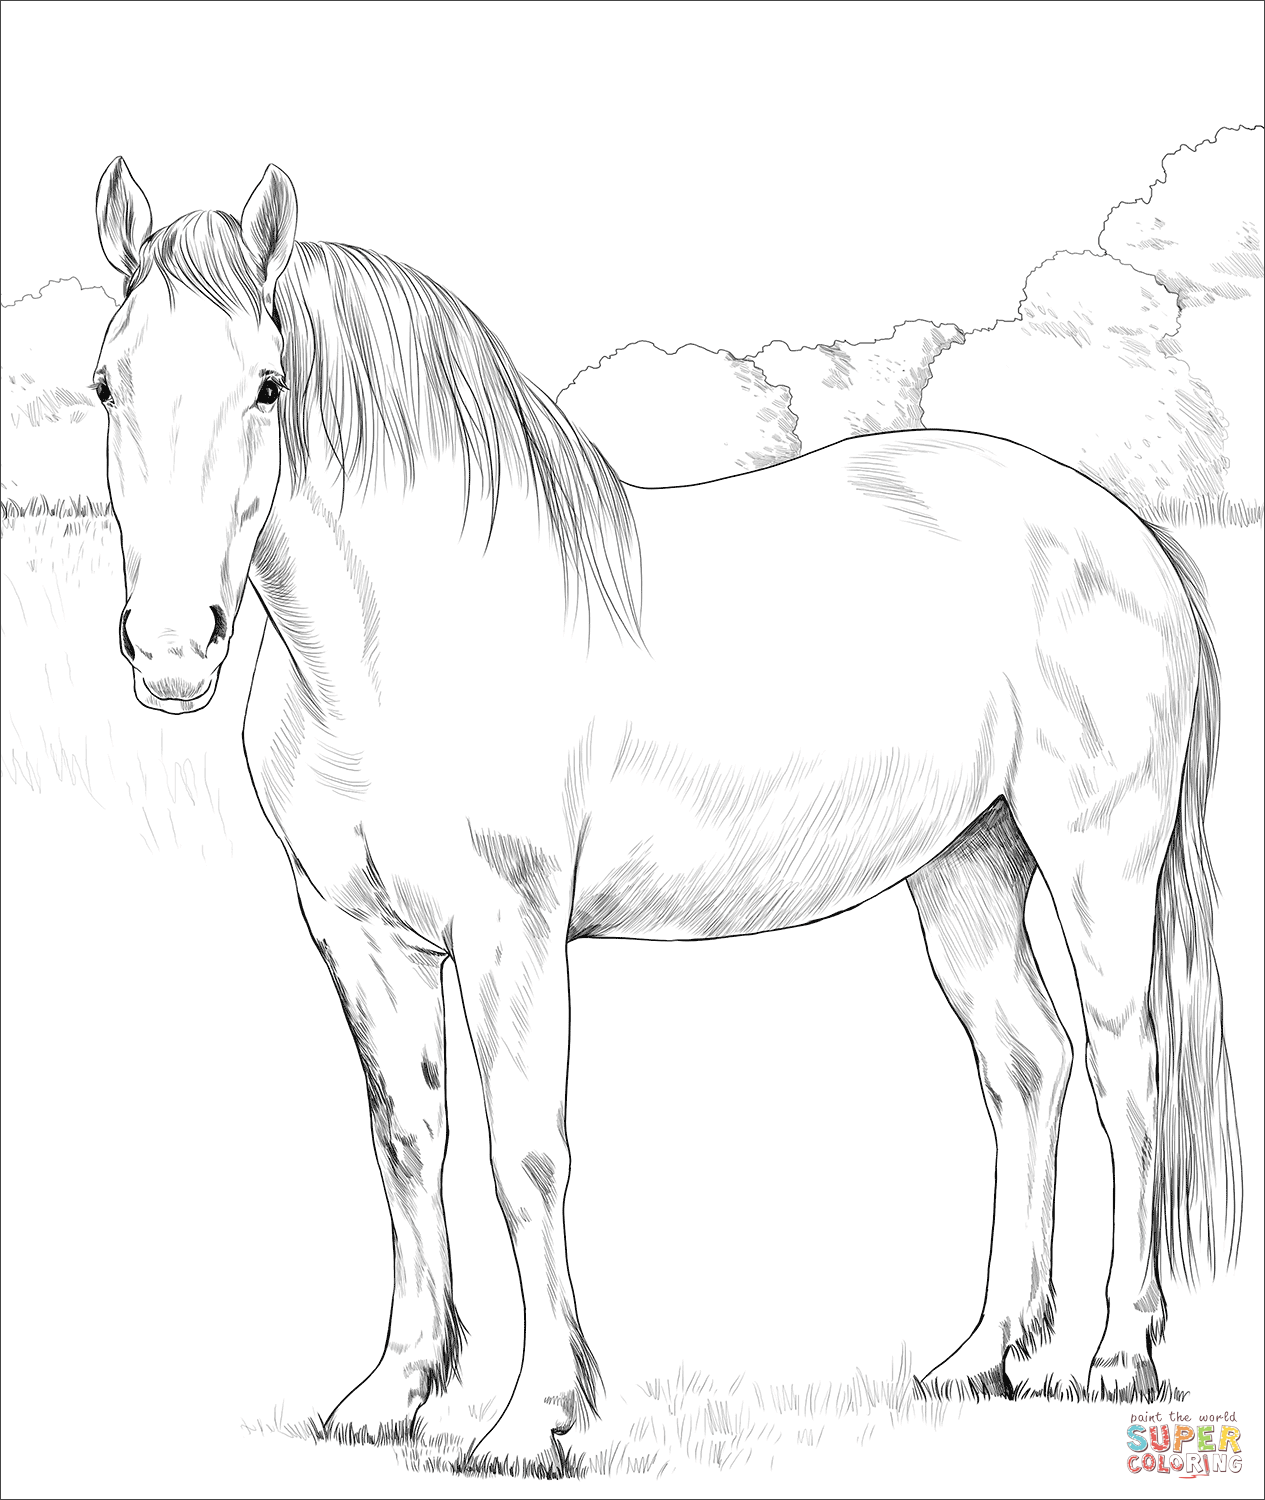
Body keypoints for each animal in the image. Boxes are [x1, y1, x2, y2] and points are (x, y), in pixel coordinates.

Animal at [92, 158, 1242, 1474]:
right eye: (107, 382)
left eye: (268, 384)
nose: (170, 652)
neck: (402, 642)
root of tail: (1127, 533)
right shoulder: (356, 934)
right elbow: (406, 1143)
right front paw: (393, 1393)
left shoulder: (512, 928)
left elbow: (526, 1156)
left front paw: (532, 1418)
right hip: (966, 864)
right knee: (1023, 1068)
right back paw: (984, 1355)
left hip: (1099, 863)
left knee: (1124, 1076)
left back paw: (1113, 1356)